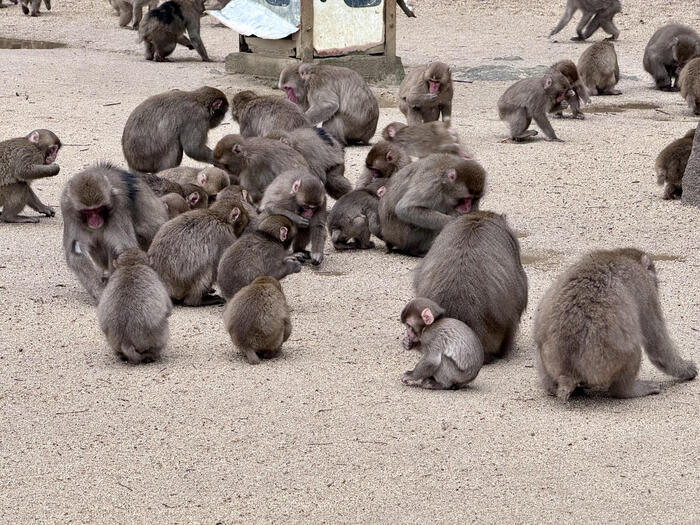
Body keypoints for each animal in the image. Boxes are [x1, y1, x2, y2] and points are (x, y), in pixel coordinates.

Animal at [60, 164, 169, 302]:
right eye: (87, 212)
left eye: (99, 209)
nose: (95, 220)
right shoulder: (67, 208)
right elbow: (76, 252)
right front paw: (99, 291)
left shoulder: (119, 204)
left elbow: (124, 247)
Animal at [536, 248, 696, 400]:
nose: (656, 283)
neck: (620, 255)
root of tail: (568, 372)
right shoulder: (646, 289)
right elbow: (658, 346)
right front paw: (686, 369)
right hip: (605, 363)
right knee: (633, 348)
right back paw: (626, 391)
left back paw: (552, 388)